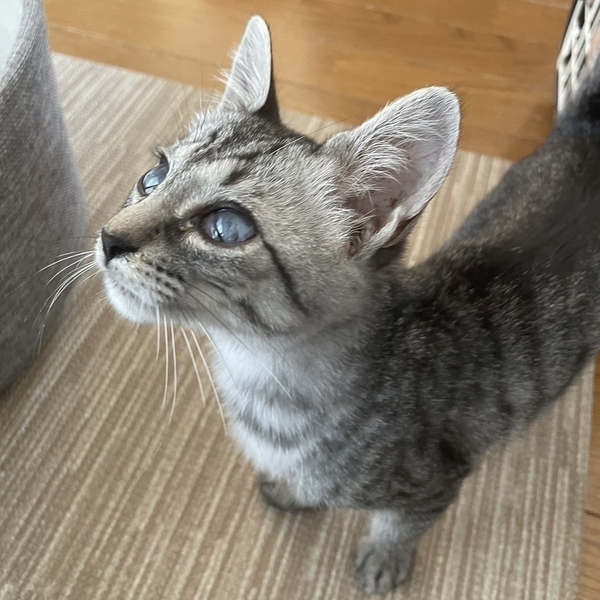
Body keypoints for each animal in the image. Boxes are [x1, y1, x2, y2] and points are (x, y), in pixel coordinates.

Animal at [95, 16, 600, 595]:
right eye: (153, 178)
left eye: (226, 226)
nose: (108, 238)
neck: (262, 376)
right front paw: (293, 490)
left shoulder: (438, 481)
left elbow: (399, 525)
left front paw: (384, 558)